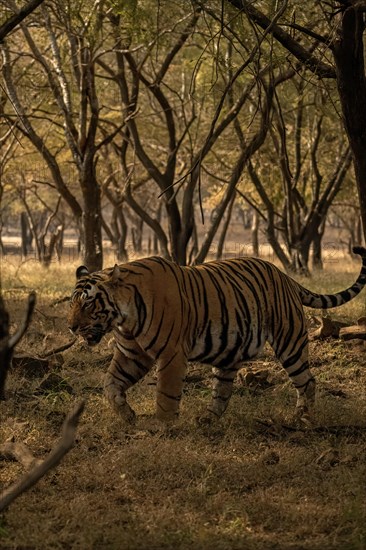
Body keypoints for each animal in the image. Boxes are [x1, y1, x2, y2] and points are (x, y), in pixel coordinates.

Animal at [67, 248, 366, 424]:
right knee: (223, 389)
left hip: (289, 341)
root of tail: (285, 276)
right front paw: (126, 414)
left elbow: (166, 393)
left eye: (88, 303)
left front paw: (163, 426)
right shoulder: (131, 353)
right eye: (71, 303)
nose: (71, 327)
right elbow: (110, 383)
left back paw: (302, 419)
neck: (124, 319)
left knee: (307, 381)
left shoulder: (171, 354)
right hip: (230, 349)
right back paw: (208, 419)